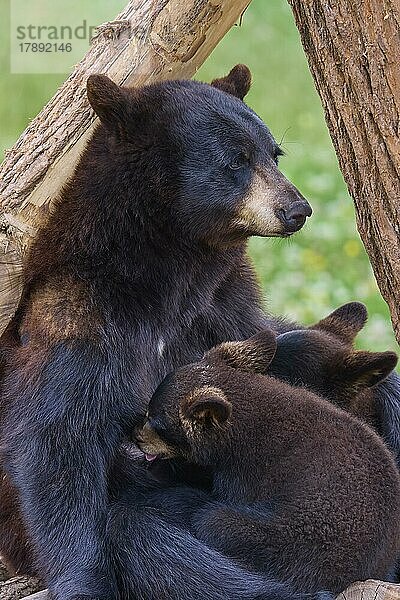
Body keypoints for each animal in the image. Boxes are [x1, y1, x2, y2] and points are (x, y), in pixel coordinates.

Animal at [0, 67, 316, 600]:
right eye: (236, 160)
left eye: (274, 153)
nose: (297, 209)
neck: (175, 273)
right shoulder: (82, 317)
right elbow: (55, 441)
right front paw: (82, 581)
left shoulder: (224, 304)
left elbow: (271, 360)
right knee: (147, 537)